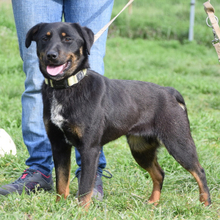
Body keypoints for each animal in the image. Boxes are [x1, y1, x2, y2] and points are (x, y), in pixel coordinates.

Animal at [25, 22, 211, 208]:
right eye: (44, 38)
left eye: (68, 39)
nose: (51, 55)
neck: (66, 87)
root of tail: (170, 92)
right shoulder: (59, 145)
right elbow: (61, 182)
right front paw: (59, 207)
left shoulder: (89, 148)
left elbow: (85, 187)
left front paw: (80, 210)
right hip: (141, 148)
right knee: (159, 173)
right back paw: (153, 202)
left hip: (178, 142)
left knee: (199, 171)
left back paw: (205, 203)